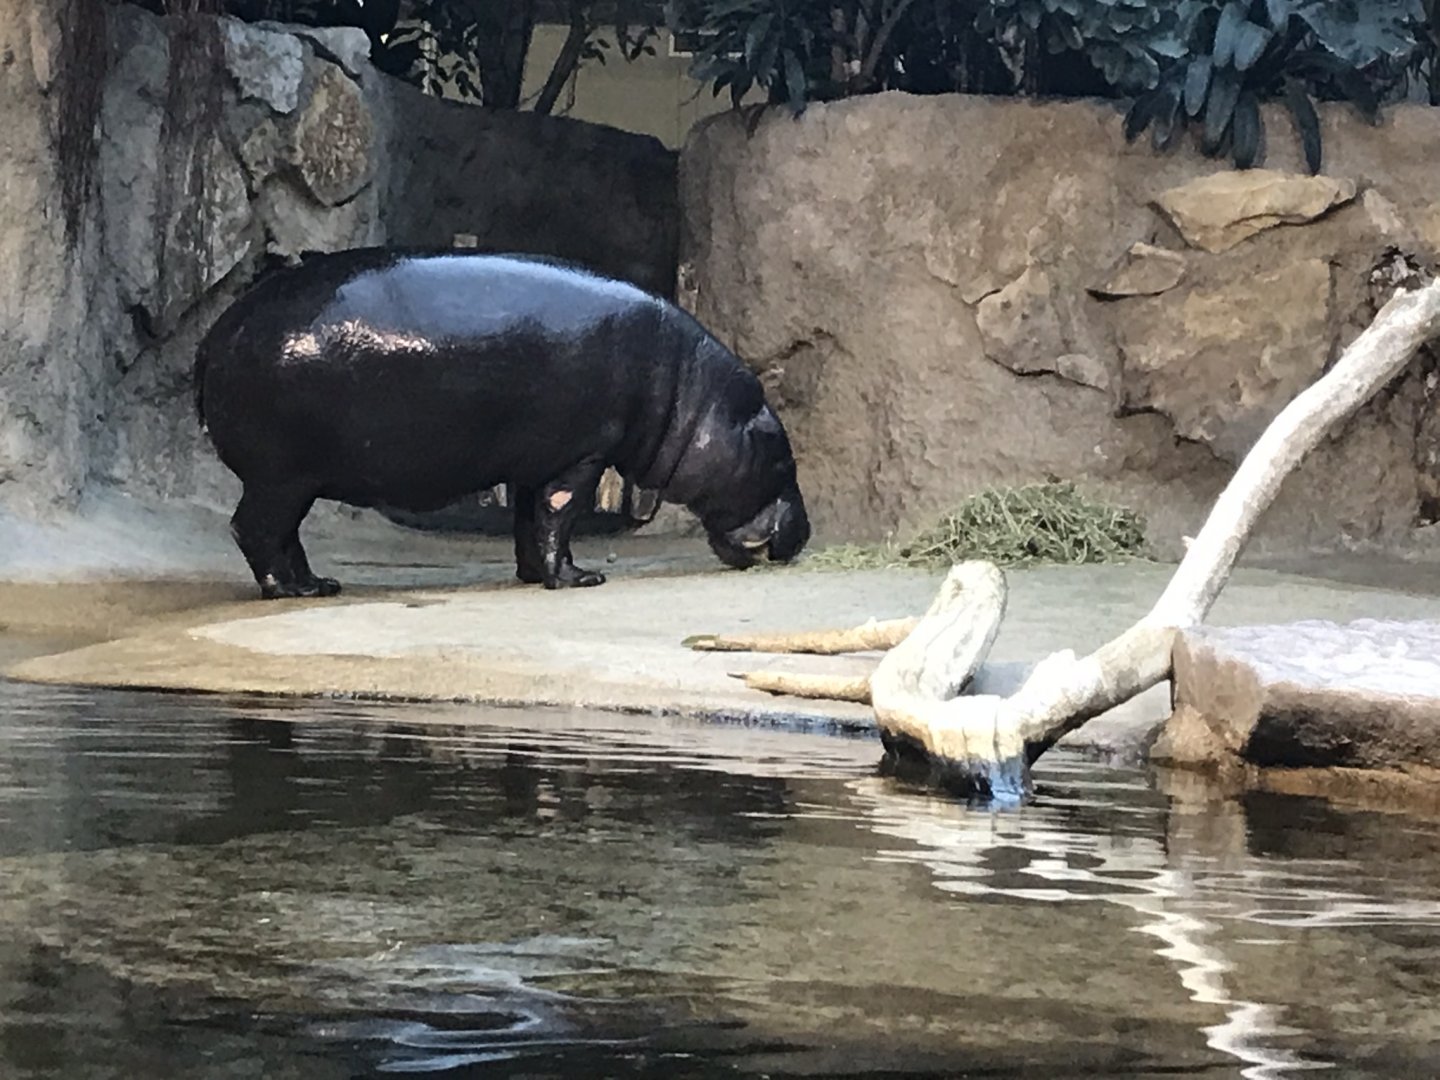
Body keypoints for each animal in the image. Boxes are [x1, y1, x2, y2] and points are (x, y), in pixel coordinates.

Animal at [194, 248, 810, 599]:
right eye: (783, 455)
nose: (804, 533)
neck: (692, 393)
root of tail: (215, 336)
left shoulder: (537, 458)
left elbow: (529, 518)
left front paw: (534, 577)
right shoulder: (583, 454)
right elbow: (561, 514)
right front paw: (580, 580)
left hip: (290, 481)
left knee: (284, 535)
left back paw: (319, 585)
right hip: (281, 476)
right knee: (255, 530)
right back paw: (289, 592)